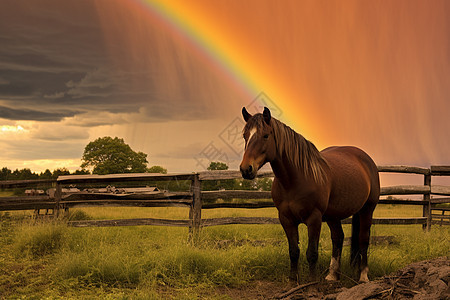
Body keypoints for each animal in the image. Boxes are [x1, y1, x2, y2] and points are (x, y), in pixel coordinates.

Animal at [239, 106, 380, 282]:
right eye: (245, 135)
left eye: (265, 135)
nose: (246, 169)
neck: (295, 180)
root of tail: (366, 160)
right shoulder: (286, 219)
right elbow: (293, 252)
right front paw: (293, 281)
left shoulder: (314, 218)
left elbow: (312, 253)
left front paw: (311, 283)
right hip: (333, 215)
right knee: (338, 238)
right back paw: (332, 275)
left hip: (367, 209)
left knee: (363, 239)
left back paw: (363, 276)